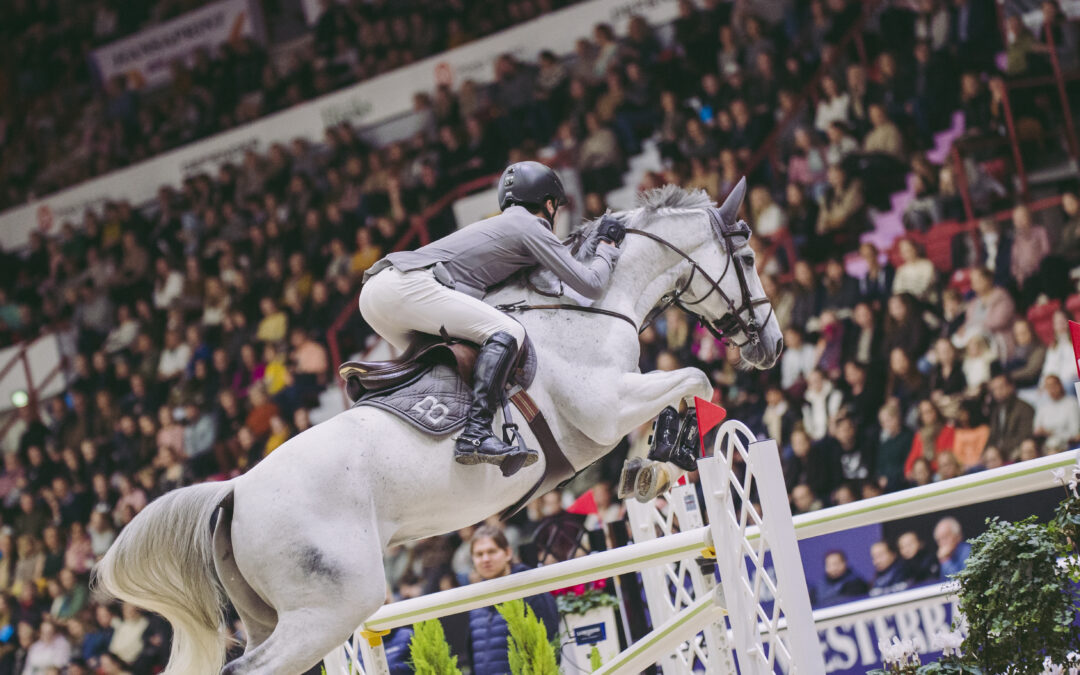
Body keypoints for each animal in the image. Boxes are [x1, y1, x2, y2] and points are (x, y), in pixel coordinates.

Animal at [93, 181, 783, 675]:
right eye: (748, 257)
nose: (771, 345)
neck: (590, 302)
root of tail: (234, 492)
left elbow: (686, 389)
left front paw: (649, 471)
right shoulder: (605, 407)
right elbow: (696, 379)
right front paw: (667, 452)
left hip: (279, 614)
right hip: (332, 608)